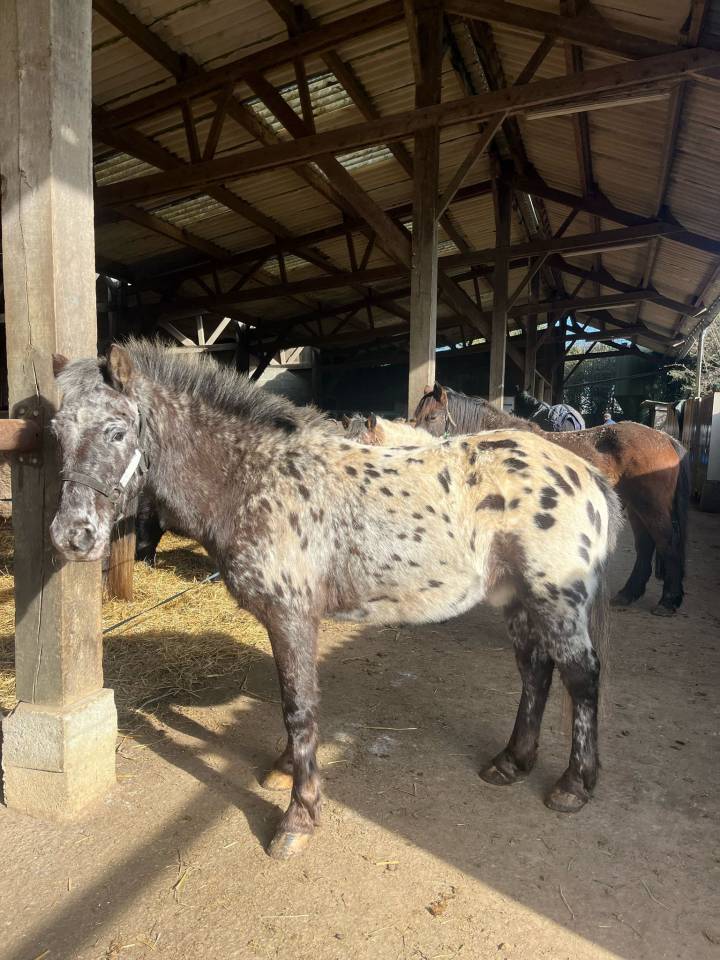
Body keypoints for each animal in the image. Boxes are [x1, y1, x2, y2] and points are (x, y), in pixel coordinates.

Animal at [50, 341, 621, 859]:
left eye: (117, 431)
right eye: (57, 432)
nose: (72, 536)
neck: (256, 478)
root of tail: (585, 473)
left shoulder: (291, 616)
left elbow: (298, 707)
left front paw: (298, 818)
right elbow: (295, 700)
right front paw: (284, 772)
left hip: (556, 601)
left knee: (581, 675)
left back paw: (574, 784)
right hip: (517, 599)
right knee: (535, 671)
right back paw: (511, 762)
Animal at [414, 384, 690, 616]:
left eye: (432, 417)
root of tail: (666, 439)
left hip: (651, 506)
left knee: (667, 543)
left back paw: (668, 601)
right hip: (636, 507)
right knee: (645, 546)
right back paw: (628, 594)